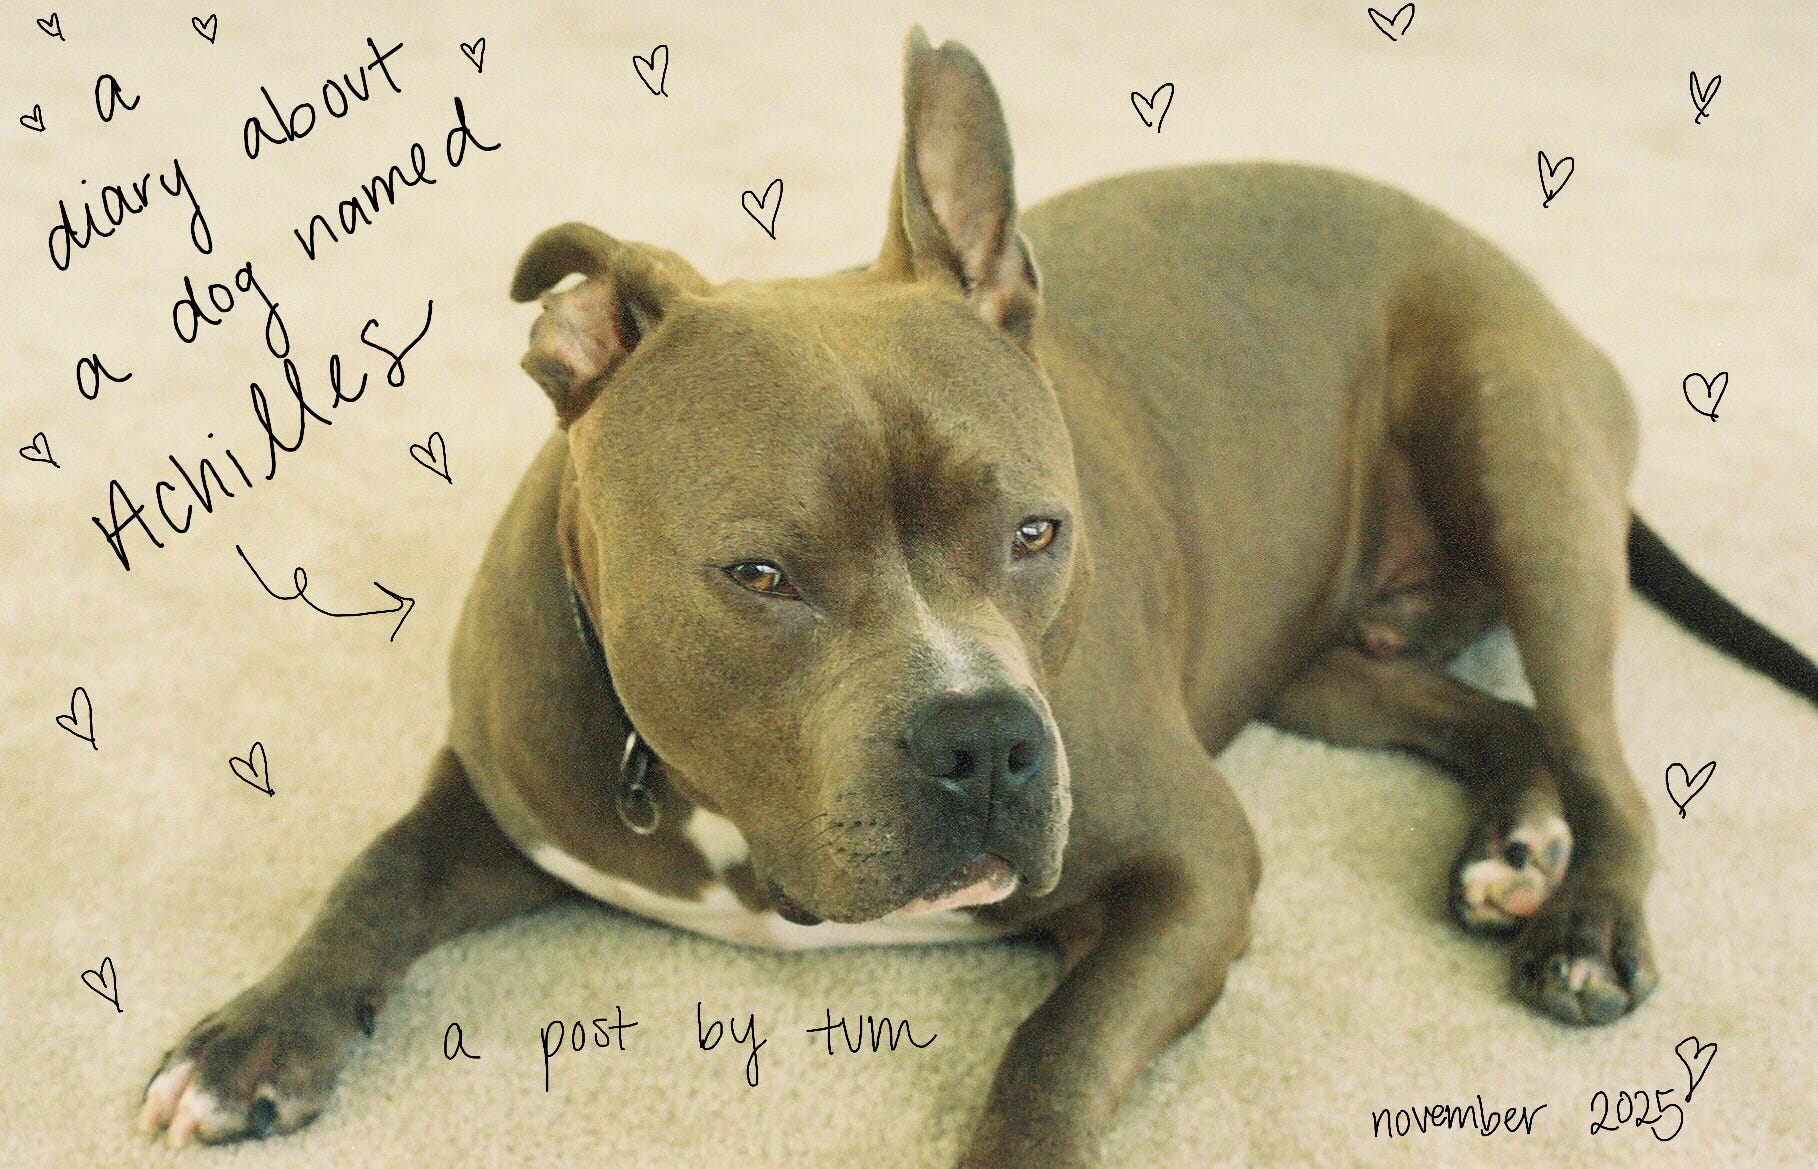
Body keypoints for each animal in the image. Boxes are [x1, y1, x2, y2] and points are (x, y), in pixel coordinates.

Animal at [138, 27, 1818, 1167]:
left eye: (1035, 531)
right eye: (759, 574)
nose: (990, 743)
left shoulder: (1195, 861)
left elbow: (1055, 1045)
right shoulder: (502, 790)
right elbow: (378, 871)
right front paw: (257, 1031)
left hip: (1519, 466)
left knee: (1601, 748)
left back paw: (1581, 920)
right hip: (1312, 654)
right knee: (1485, 713)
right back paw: (1511, 840)